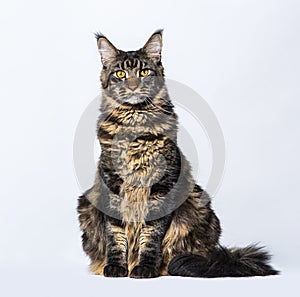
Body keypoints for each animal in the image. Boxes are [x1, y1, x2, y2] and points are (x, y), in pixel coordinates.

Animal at [76, 30, 278, 278]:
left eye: (144, 72)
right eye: (121, 74)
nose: (132, 86)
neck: (134, 123)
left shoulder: (161, 186)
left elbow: (150, 237)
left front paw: (145, 268)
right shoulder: (112, 184)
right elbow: (116, 235)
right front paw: (115, 267)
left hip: (198, 205)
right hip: (86, 204)